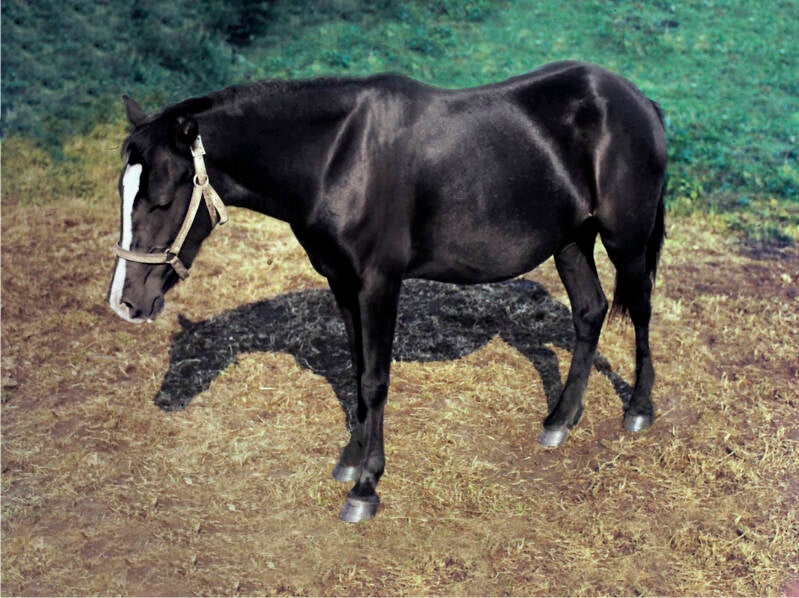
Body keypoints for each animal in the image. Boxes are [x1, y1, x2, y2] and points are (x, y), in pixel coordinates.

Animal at [108, 61, 667, 523]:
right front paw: (351, 460)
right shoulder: (342, 282)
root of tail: (637, 100)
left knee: (639, 308)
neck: (336, 155)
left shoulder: (379, 283)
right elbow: (357, 372)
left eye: (162, 198)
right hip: (570, 240)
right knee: (590, 311)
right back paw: (561, 420)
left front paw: (366, 488)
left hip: (625, 237)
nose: (127, 302)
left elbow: (376, 380)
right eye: (123, 190)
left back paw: (639, 410)